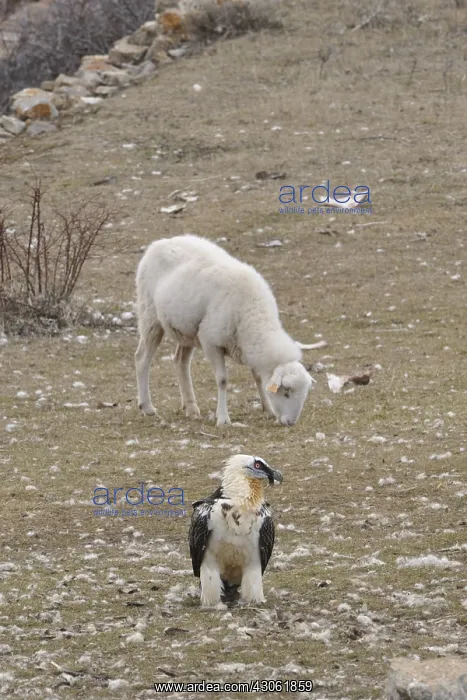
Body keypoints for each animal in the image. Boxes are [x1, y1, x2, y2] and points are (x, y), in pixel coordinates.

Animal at [135, 234, 314, 426]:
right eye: (286, 392)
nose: (290, 422)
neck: (251, 313)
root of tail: (160, 242)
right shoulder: (210, 342)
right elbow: (222, 380)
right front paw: (222, 418)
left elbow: (258, 377)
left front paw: (269, 410)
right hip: (150, 315)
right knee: (142, 358)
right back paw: (147, 406)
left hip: (187, 328)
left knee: (180, 361)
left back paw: (191, 408)